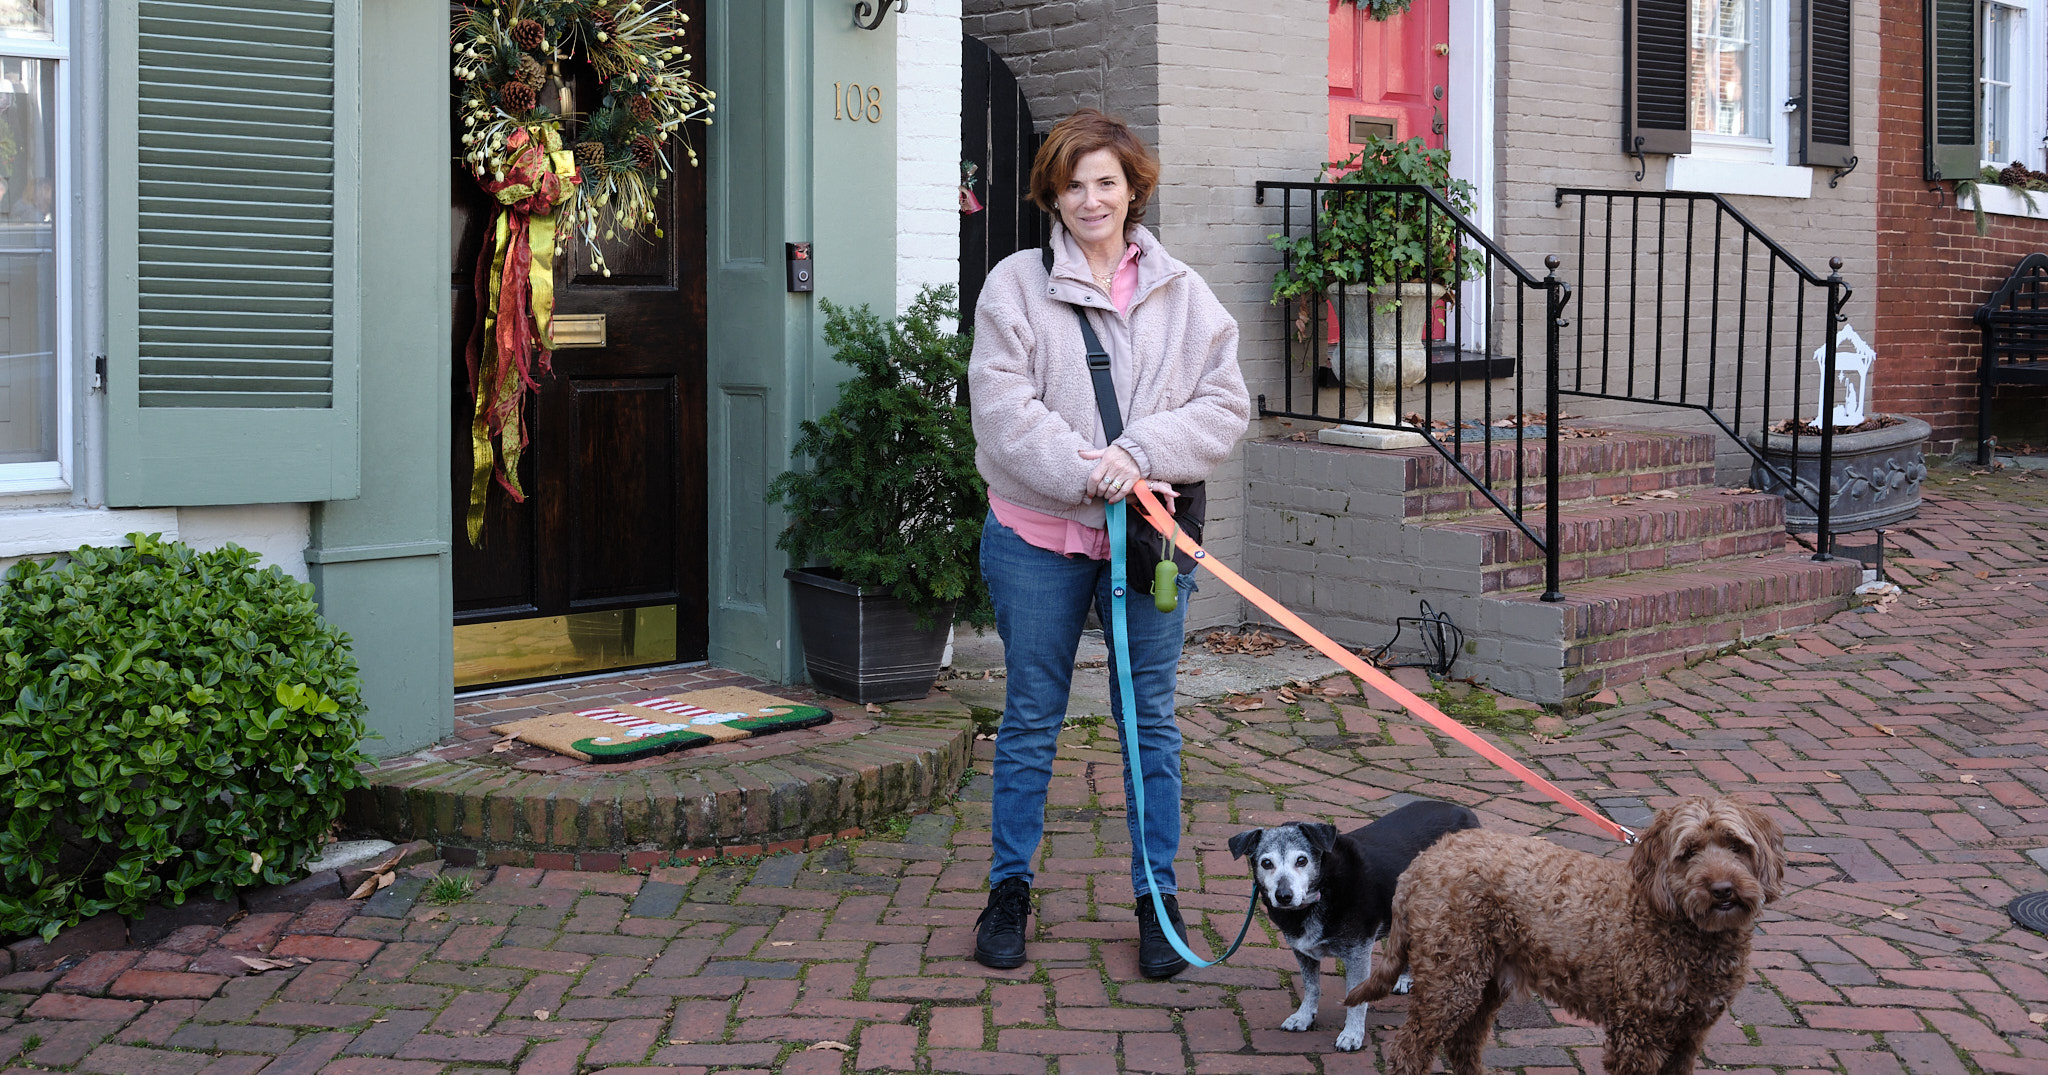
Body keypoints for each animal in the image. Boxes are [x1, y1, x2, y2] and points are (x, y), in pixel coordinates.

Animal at [1220, 794, 1482, 1048]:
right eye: (1266, 863)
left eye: (1302, 860)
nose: (1283, 896)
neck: (1323, 890)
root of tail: (1467, 813)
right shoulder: (1302, 950)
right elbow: (1311, 986)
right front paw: (1304, 1016)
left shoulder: (1358, 953)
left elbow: (1355, 999)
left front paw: (1352, 1034)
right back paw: (1405, 978)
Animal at [1343, 794, 1777, 1072]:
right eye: (1689, 853)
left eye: (1736, 846)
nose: (1723, 890)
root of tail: (1423, 861)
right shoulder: (1638, 1034)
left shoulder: (1689, 1036)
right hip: (1450, 980)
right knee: (1410, 1051)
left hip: (1484, 980)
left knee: (1462, 1044)